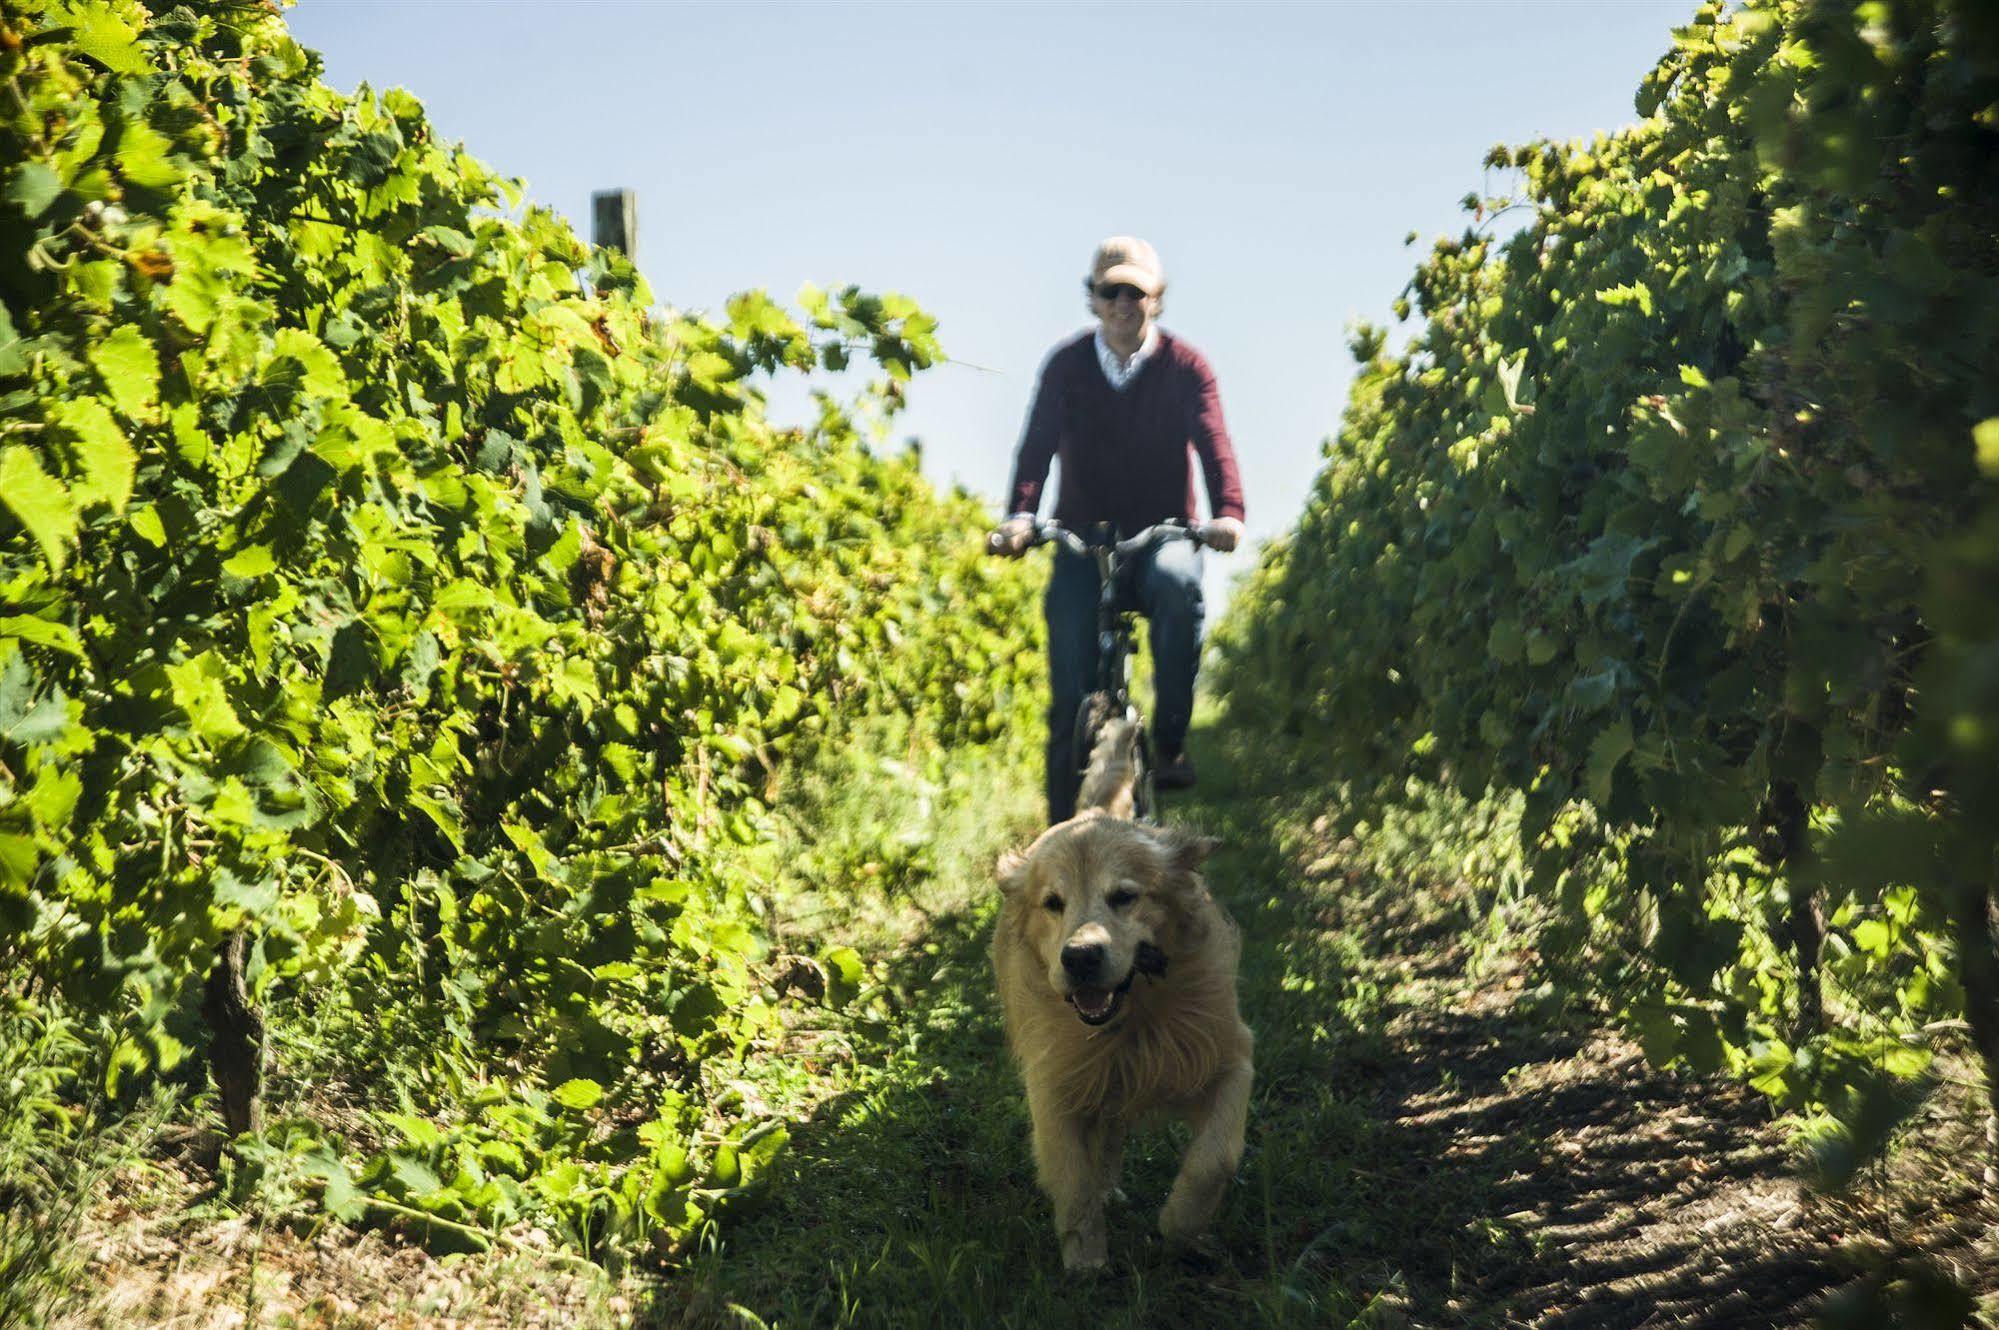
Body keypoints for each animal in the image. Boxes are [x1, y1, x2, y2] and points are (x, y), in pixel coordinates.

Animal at [995, 808, 1255, 1264]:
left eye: (1124, 896)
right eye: (1052, 903)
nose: (1080, 957)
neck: (1134, 1019)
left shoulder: (1231, 1055)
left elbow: (1215, 1157)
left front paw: (1180, 1224)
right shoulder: (1055, 1085)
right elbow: (1073, 1177)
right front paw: (1086, 1257)